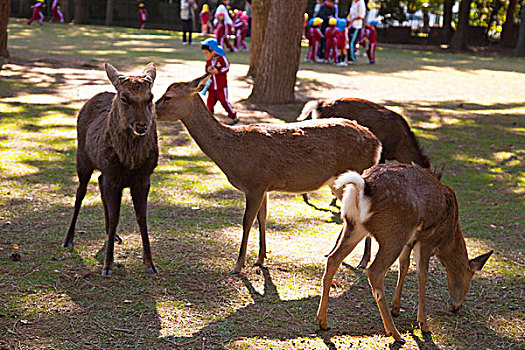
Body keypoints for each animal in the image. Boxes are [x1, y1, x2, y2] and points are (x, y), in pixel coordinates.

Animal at [62, 62, 159, 276]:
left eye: (150, 98)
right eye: (124, 98)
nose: (142, 126)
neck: (130, 163)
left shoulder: (143, 179)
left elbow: (142, 218)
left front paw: (150, 264)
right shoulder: (112, 177)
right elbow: (116, 217)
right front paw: (107, 266)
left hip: (103, 169)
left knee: (99, 182)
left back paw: (111, 235)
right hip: (82, 157)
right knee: (80, 193)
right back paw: (68, 239)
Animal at [155, 74, 380, 276]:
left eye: (168, 96)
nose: (152, 110)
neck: (230, 154)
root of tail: (376, 143)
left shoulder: (255, 182)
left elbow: (247, 221)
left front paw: (238, 266)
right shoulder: (264, 186)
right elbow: (262, 218)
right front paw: (261, 259)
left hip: (357, 173)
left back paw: (363, 261)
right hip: (337, 182)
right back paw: (333, 252)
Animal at [316, 163, 492, 342]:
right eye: (468, 280)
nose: (457, 307)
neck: (447, 238)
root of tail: (363, 185)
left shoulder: (410, 241)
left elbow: (404, 265)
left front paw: (396, 307)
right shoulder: (427, 239)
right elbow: (422, 274)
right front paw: (424, 324)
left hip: (354, 226)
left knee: (333, 259)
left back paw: (323, 321)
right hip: (394, 233)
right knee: (374, 271)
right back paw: (394, 333)